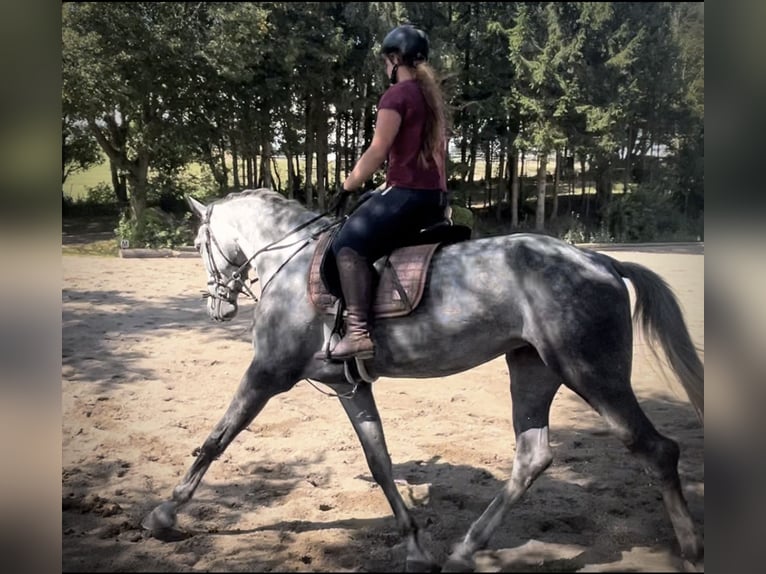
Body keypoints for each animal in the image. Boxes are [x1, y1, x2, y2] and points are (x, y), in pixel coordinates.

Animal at [141, 189, 704, 572]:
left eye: (199, 243)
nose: (216, 305)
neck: (291, 259)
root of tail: (599, 258)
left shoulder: (268, 372)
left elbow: (218, 437)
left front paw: (164, 514)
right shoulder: (350, 386)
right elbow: (381, 462)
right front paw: (414, 546)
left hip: (592, 374)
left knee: (657, 451)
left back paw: (692, 552)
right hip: (532, 369)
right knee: (533, 456)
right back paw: (464, 551)